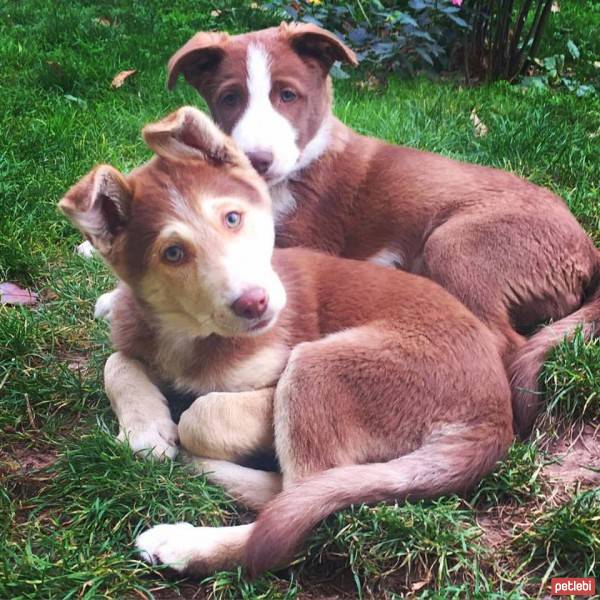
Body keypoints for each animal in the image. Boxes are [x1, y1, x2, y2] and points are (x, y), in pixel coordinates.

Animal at [163, 23, 600, 436]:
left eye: (287, 95)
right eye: (230, 98)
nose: (257, 160)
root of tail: (588, 250)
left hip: (456, 244)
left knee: (504, 342)